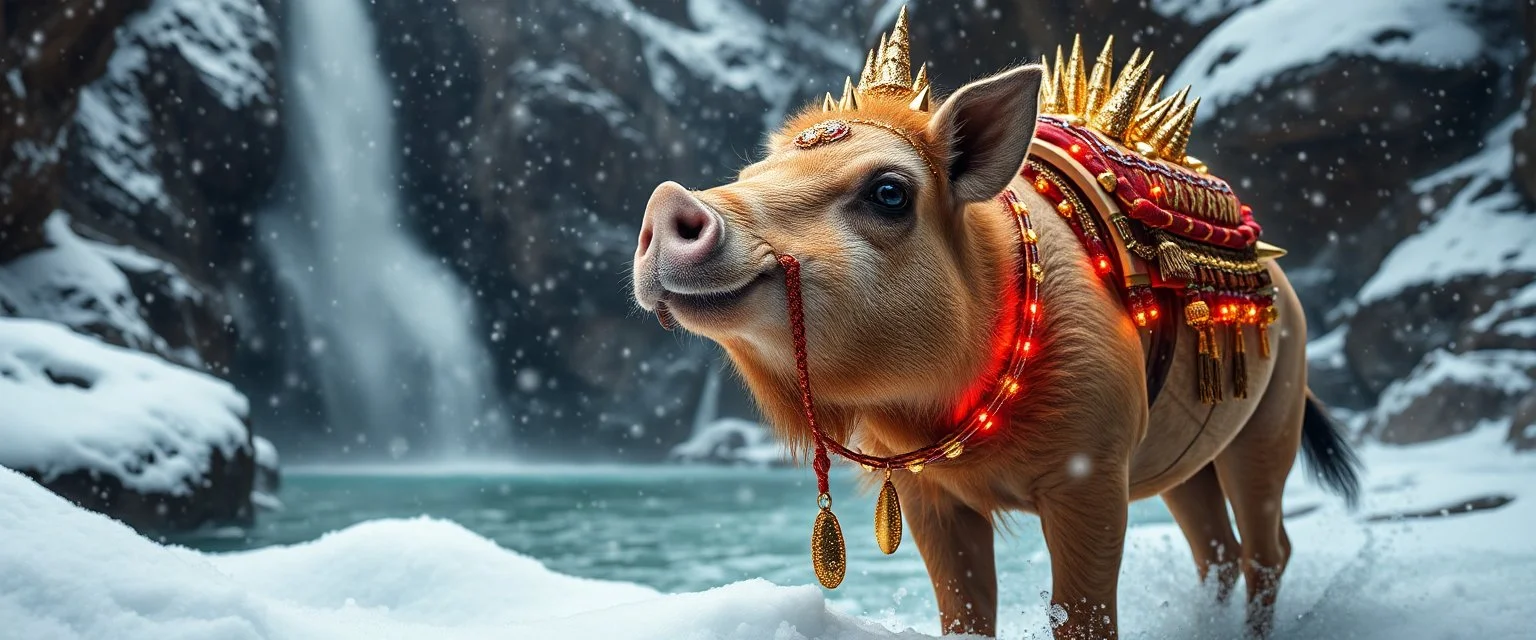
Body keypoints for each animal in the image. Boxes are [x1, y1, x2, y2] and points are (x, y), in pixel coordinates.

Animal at [630, 9, 1360, 639]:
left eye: (889, 192)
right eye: (753, 172)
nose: (669, 200)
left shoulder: (1093, 471)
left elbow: (1085, 614)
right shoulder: (929, 494)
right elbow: (964, 611)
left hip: (1273, 408)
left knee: (1268, 548)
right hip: (1188, 455)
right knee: (1217, 550)